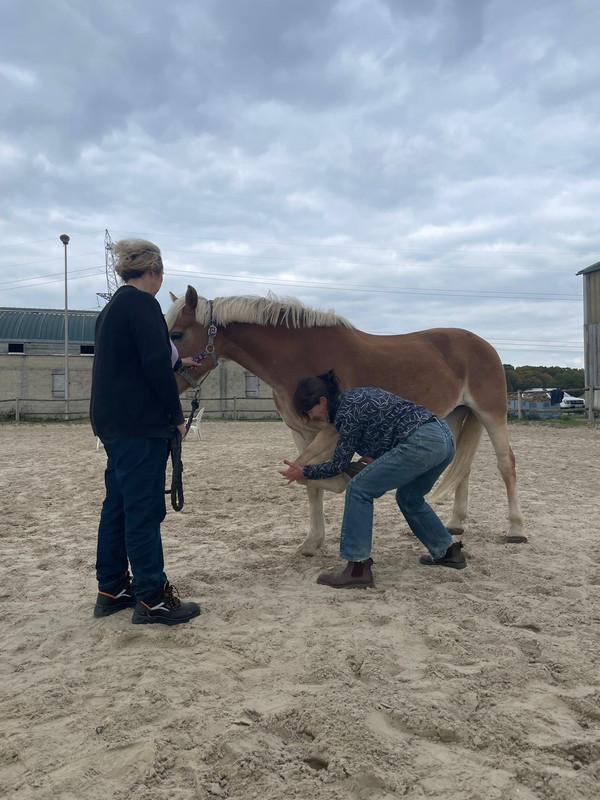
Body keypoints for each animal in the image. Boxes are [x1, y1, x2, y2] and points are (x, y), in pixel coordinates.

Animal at [165, 286, 524, 554]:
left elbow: (309, 472)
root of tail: (483, 345)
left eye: (177, 334)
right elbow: (309, 481)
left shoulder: (332, 431)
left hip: (491, 413)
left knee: (506, 463)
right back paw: (455, 522)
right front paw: (311, 543)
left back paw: (516, 528)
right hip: (452, 416)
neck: (300, 358)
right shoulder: (302, 431)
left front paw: (345, 478)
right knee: (460, 467)